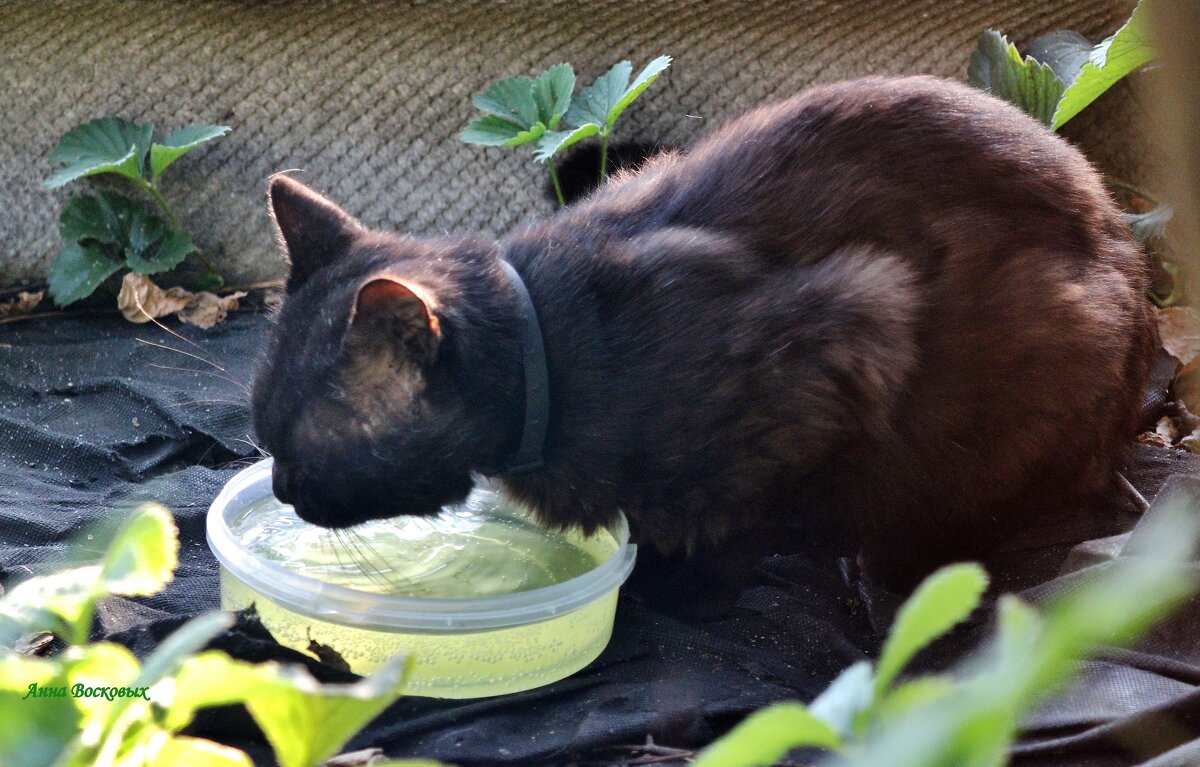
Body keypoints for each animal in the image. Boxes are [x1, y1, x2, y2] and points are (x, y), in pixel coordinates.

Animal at [250, 75, 1152, 609]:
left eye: (310, 443)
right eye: (263, 432)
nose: (284, 488)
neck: (554, 350)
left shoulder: (849, 330)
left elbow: (737, 512)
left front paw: (684, 576)